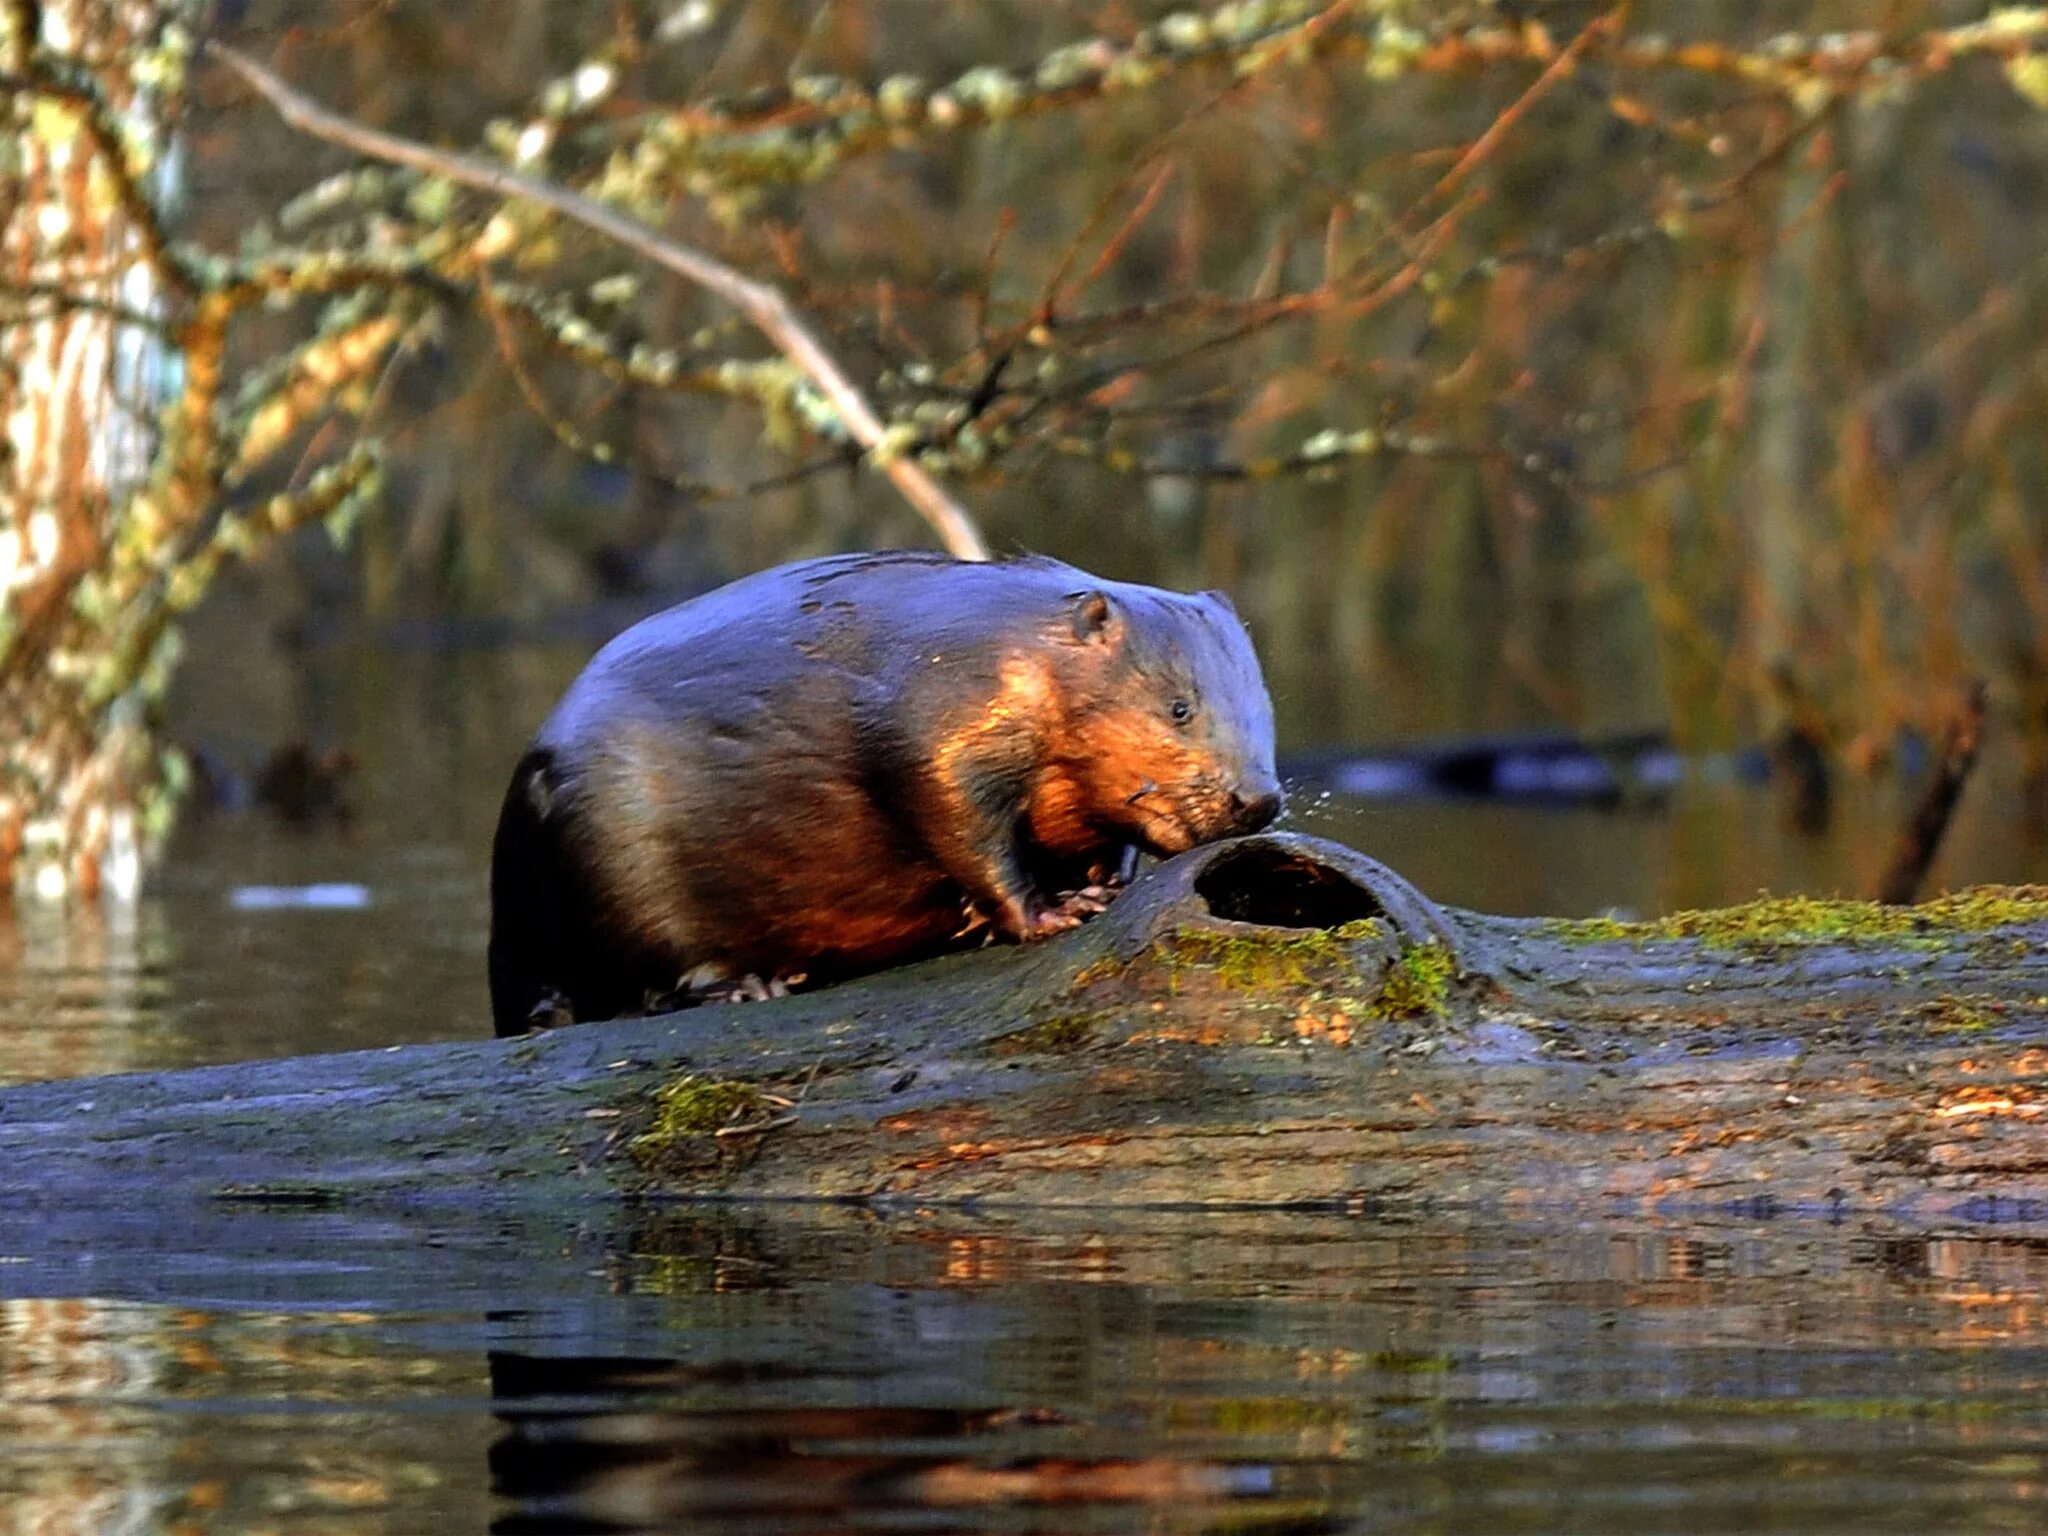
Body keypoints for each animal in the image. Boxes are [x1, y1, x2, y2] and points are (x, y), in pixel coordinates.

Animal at [487, 548, 1277, 1040]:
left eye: (1263, 706)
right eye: (1179, 707)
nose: (1258, 801)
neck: (1019, 646)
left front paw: (1102, 883)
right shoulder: (936, 720)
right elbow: (959, 821)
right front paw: (1057, 911)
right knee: (652, 982)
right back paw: (755, 985)